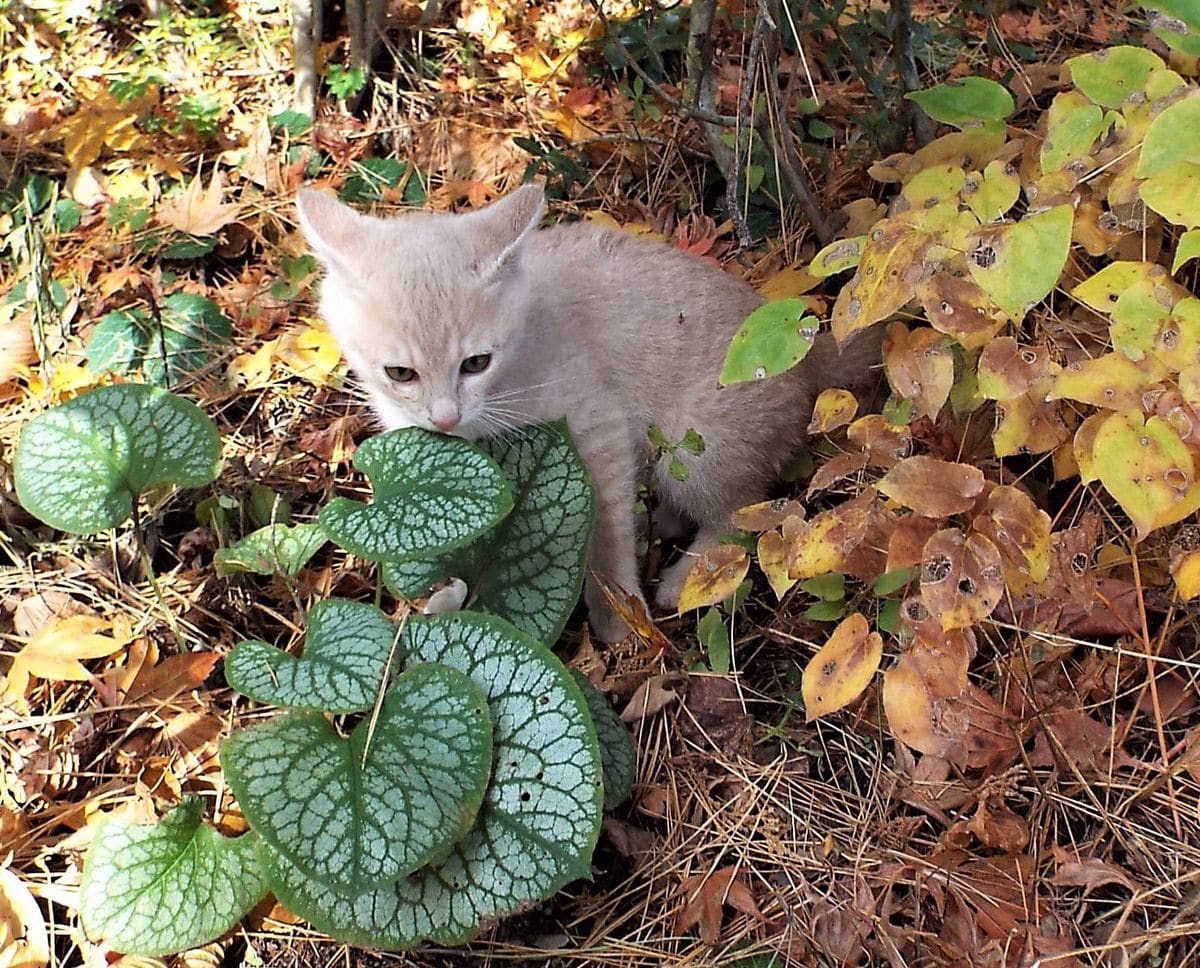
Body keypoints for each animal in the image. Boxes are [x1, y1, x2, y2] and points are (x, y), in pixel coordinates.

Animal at [297, 187, 883, 642]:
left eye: (476, 363)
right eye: (400, 373)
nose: (444, 417)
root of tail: (808, 346)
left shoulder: (598, 429)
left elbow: (607, 532)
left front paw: (620, 617)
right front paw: (447, 598)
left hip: (696, 449)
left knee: (740, 516)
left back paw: (687, 578)